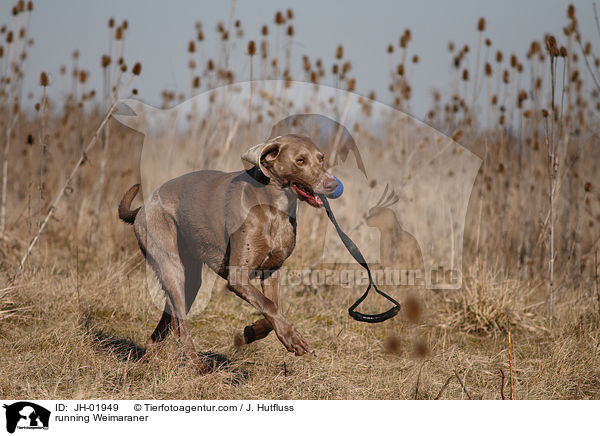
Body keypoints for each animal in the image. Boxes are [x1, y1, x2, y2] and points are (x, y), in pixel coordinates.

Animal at [119, 135, 340, 372]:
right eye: (300, 160)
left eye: (321, 158)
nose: (333, 184)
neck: (274, 208)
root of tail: (142, 207)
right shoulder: (237, 276)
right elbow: (269, 305)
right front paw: (292, 338)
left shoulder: (272, 270)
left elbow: (273, 308)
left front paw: (250, 333)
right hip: (172, 268)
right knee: (181, 327)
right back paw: (200, 367)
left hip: (190, 280)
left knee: (167, 324)